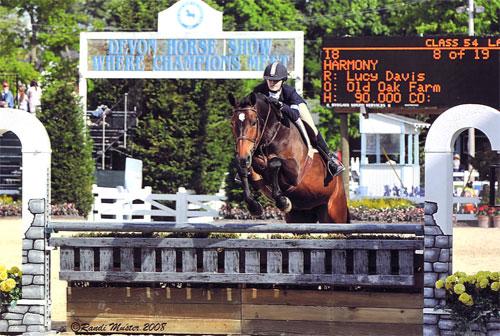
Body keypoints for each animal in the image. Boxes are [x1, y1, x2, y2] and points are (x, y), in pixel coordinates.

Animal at [229, 92, 350, 223]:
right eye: (232, 123)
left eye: (253, 123)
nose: (243, 158)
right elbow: (246, 169)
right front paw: (254, 207)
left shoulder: (295, 174)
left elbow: (274, 162)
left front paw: (282, 201)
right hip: (300, 215)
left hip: (334, 211)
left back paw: (335, 166)